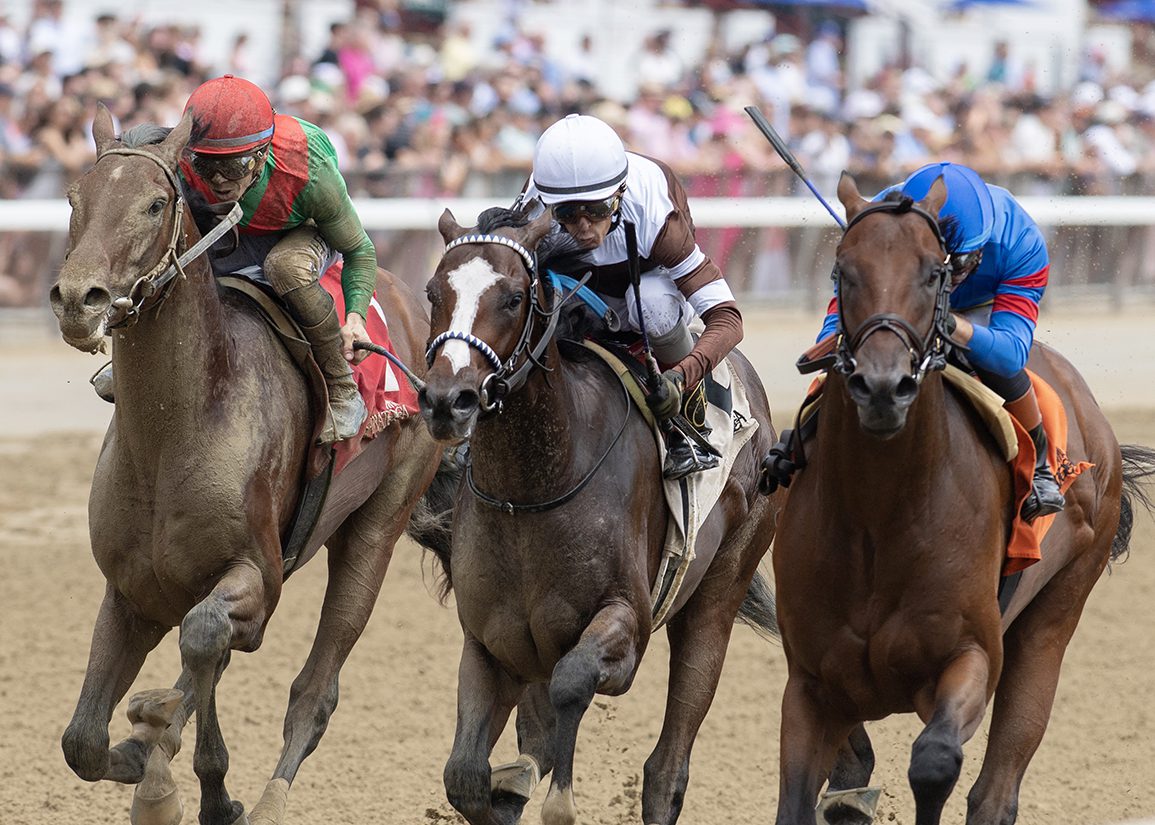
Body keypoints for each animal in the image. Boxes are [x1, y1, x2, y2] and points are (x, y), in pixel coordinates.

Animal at [47, 105, 454, 825]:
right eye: (74, 198)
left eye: (154, 204)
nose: (78, 298)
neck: (174, 434)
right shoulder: (130, 591)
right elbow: (84, 741)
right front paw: (141, 747)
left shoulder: (258, 577)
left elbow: (204, 636)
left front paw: (207, 789)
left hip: (375, 528)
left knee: (313, 690)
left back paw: (266, 797)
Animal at [416, 202, 782, 825]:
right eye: (433, 291)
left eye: (514, 297)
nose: (448, 401)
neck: (533, 490)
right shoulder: (491, 643)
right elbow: (465, 777)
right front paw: (510, 784)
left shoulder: (626, 625)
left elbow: (574, 681)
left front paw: (556, 797)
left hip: (718, 593)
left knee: (667, 768)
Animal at [771, 172, 1155, 825]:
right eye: (843, 270)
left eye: (933, 272)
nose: (882, 387)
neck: (879, 518)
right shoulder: (811, 686)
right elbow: (798, 801)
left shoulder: (970, 656)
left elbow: (934, 761)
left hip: (1053, 617)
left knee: (995, 789)